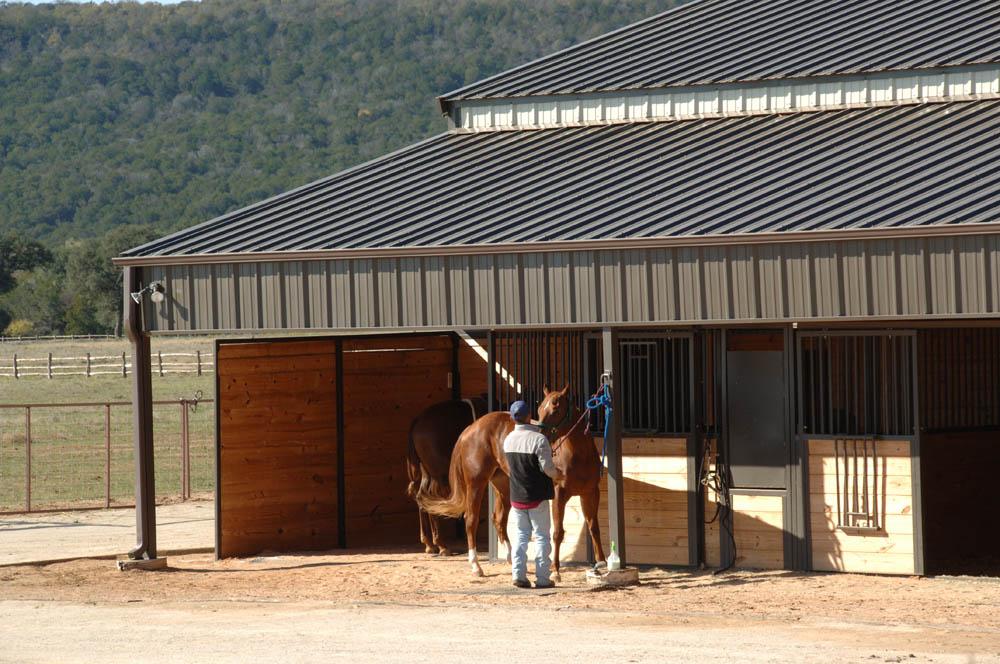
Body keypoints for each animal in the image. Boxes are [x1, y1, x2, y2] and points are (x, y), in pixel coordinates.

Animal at [406, 397, 486, 555]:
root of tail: (417, 421)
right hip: (439, 476)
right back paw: (442, 545)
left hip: (426, 473)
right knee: (431, 500)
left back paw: (429, 544)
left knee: (420, 497)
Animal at [417, 384, 606, 579]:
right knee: (471, 520)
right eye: (539, 408)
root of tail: (470, 429)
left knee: (499, 519)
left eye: (556, 409)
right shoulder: (559, 495)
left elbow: (594, 527)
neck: (578, 455)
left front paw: (602, 563)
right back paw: (476, 566)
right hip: (476, 484)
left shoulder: (590, 493)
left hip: (503, 486)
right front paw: (555, 570)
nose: (540, 435)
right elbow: (558, 533)